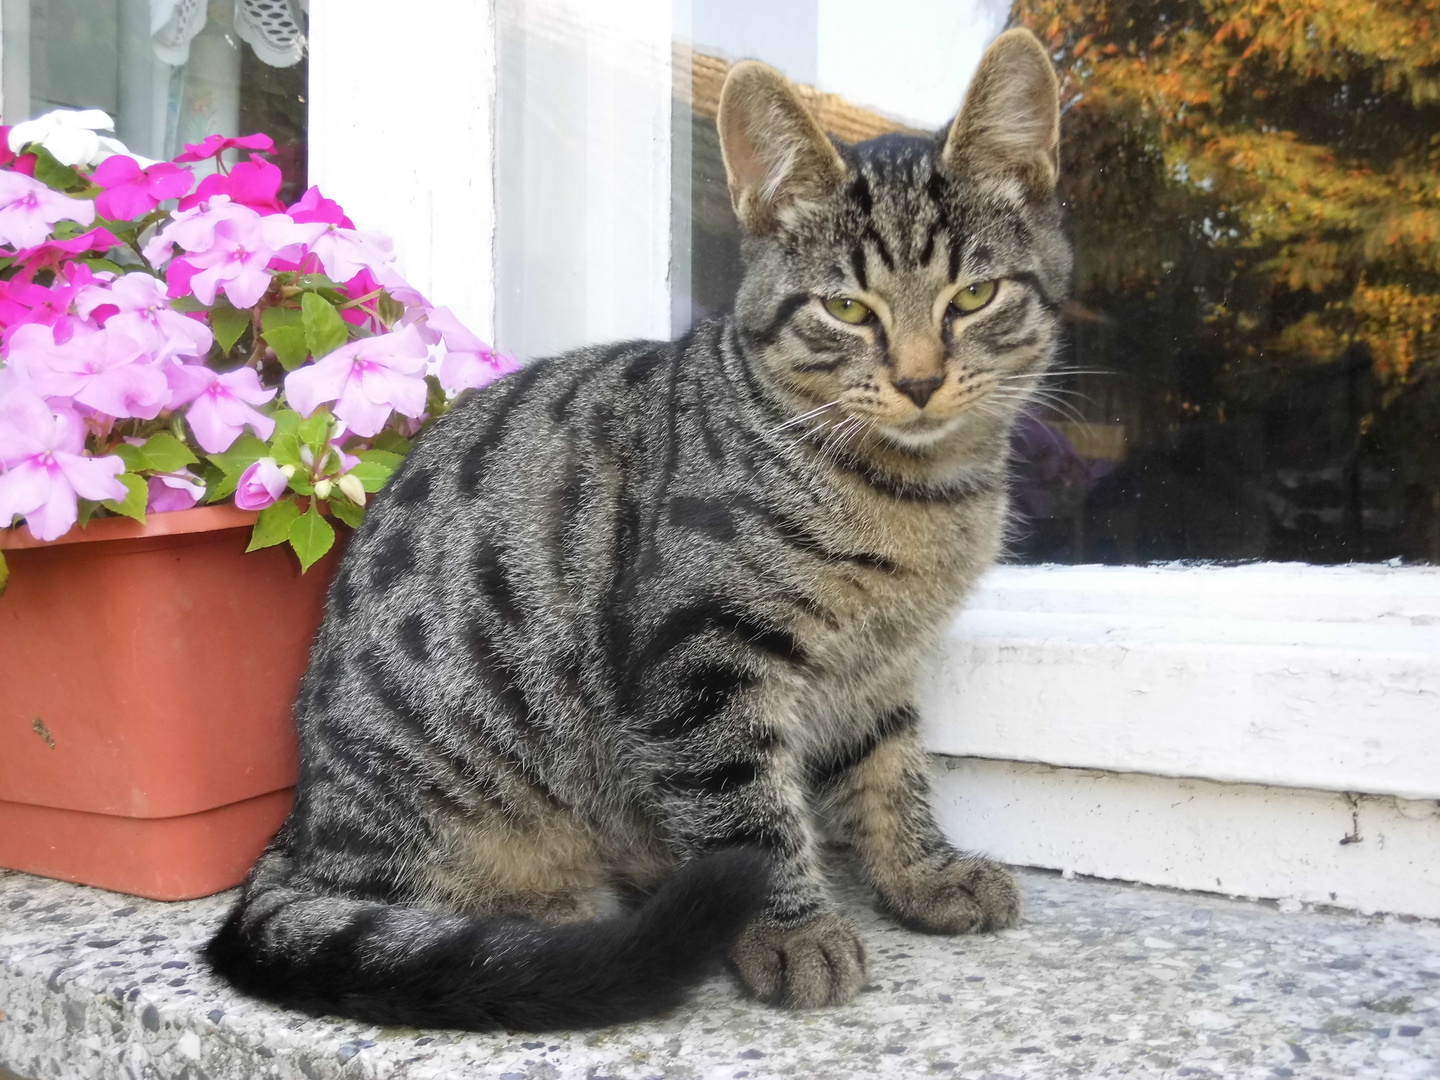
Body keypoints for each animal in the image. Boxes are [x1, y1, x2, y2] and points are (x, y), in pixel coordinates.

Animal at [210, 27, 1071, 1031]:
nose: (922, 380)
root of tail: (303, 828)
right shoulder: (695, 654)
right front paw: (792, 930)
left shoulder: (880, 669)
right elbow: (744, 812)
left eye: (973, 298)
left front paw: (923, 872)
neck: (918, 499)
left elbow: (891, 772)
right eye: (848, 309)